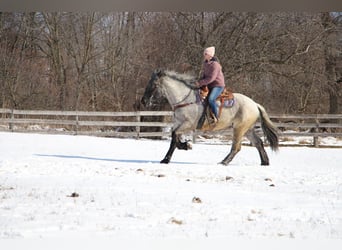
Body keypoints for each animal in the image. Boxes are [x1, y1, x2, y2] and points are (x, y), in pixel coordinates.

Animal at [140, 69, 280, 166]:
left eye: (154, 85)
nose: (143, 101)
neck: (185, 100)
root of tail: (255, 104)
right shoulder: (178, 123)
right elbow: (174, 137)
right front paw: (181, 148)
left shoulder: (188, 124)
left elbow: (174, 136)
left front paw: (178, 151)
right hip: (248, 129)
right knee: (258, 143)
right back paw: (265, 162)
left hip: (239, 129)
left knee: (236, 147)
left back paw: (224, 162)